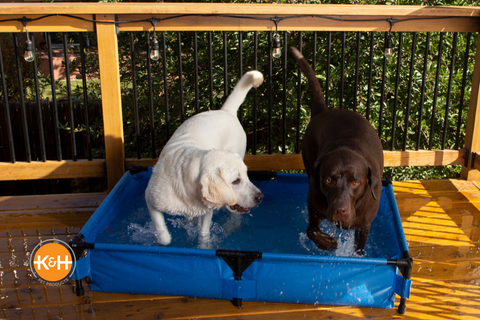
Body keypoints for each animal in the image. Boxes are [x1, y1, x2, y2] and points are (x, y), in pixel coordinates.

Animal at [146, 70, 266, 248]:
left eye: (246, 176)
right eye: (236, 181)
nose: (260, 197)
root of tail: (226, 111)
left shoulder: (207, 210)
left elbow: (203, 234)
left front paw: (203, 246)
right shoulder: (150, 199)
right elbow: (164, 236)